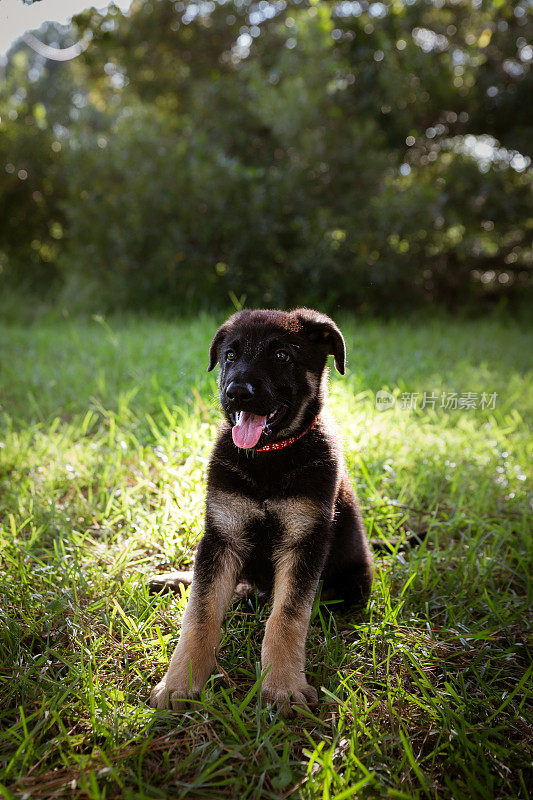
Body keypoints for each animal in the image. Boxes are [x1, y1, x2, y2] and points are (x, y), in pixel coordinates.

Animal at [150, 310, 372, 716]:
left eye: (282, 356)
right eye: (230, 356)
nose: (236, 391)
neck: (269, 456)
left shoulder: (304, 542)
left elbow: (287, 616)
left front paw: (282, 687)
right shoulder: (221, 536)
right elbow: (200, 612)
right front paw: (180, 682)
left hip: (352, 583)